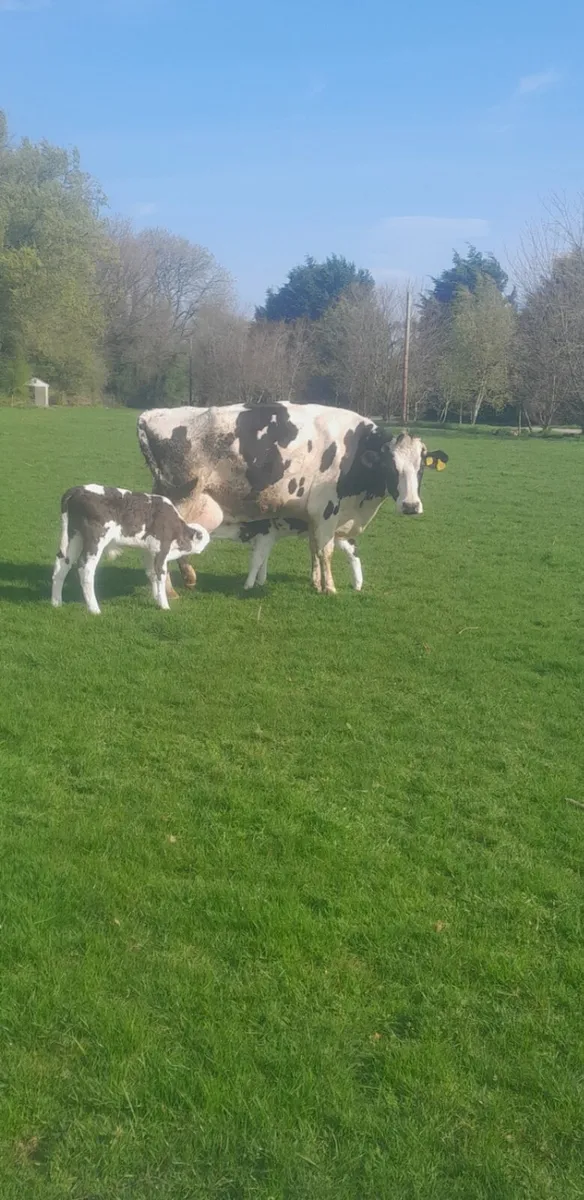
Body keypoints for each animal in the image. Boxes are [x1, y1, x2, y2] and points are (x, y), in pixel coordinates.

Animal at [51, 485, 210, 614]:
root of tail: (78, 489)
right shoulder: (161, 550)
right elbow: (160, 575)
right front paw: (165, 605)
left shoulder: (148, 551)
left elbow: (151, 574)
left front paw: (156, 599)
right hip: (95, 540)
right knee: (85, 567)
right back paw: (94, 609)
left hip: (74, 536)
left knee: (62, 563)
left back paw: (56, 603)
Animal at [137, 404, 448, 595]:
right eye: (389, 466)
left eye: (421, 467)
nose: (410, 505)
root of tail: (151, 415)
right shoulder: (327, 509)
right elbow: (326, 551)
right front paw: (330, 588)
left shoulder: (314, 516)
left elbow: (313, 549)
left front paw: (315, 582)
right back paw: (170, 591)